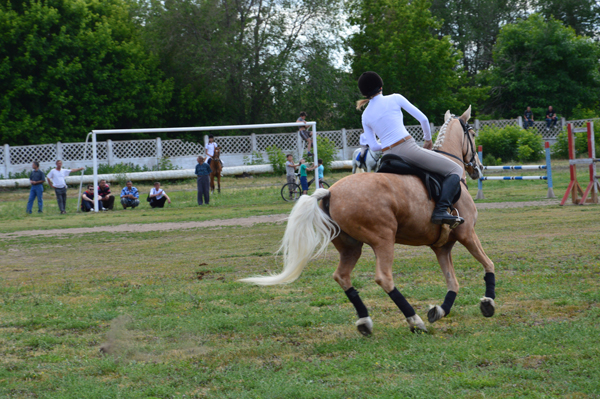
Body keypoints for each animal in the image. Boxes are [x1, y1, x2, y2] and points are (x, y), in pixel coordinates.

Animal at [240, 107, 496, 338]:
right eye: (472, 134)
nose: (478, 169)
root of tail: (330, 192)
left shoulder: (442, 247)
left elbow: (453, 283)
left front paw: (440, 310)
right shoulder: (467, 234)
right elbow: (488, 264)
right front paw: (488, 302)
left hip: (350, 246)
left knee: (342, 276)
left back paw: (365, 321)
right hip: (384, 239)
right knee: (384, 278)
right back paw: (414, 321)